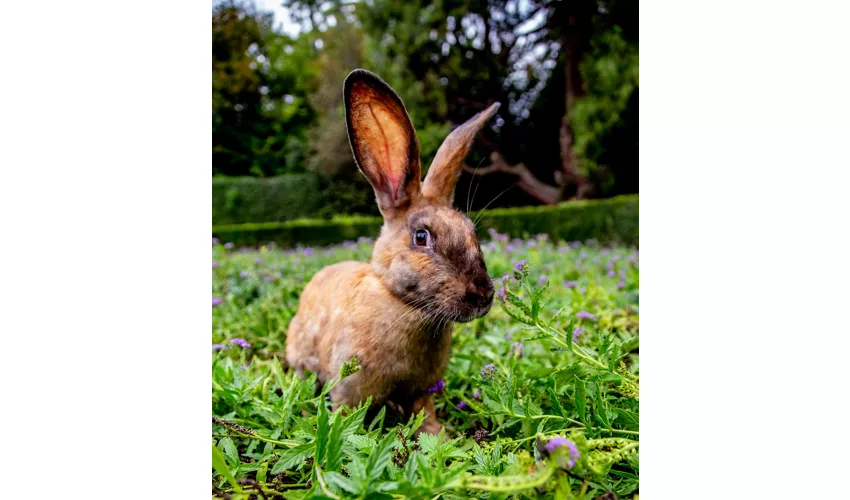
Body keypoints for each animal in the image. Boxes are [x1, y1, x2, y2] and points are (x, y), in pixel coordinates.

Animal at [284, 68, 496, 436]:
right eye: (422, 237)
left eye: (471, 232)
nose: (483, 295)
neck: (404, 304)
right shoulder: (351, 388)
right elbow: (346, 414)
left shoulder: (421, 390)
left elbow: (424, 412)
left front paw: (438, 435)